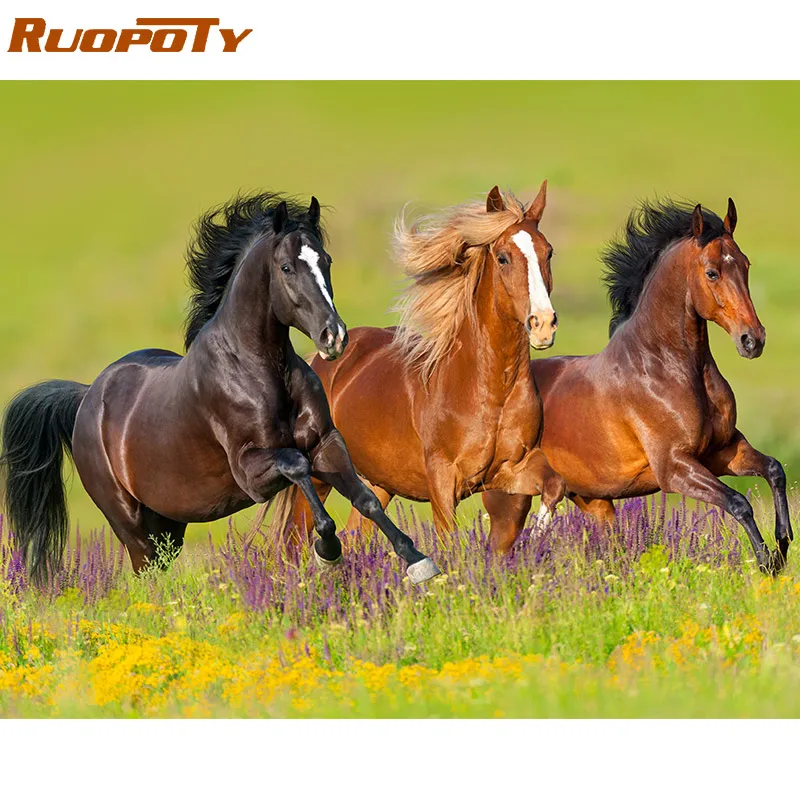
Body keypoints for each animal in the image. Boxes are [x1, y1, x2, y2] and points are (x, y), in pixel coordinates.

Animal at [0, 192, 440, 586]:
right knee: (146, 575)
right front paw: (328, 552)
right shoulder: (252, 473)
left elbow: (365, 498)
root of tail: (87, 398)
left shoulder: (326, 443)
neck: (259, 372)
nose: (334, 337)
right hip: (131, 524)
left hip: (168, 524)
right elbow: (298, 467)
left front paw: (419, 562)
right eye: (286, 267)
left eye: (326, 261)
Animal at [283, 183, 566, 551]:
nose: (543, 324)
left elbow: (554, 486)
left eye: (548, 253)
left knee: (357, 532)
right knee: (295, 540)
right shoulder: (443, 481)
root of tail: (319, 361)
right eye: (503, 257)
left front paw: (537, 536)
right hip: (319, 475)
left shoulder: (512, 469)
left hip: (378, 483)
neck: (489, 389)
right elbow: (449, 543)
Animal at [482, 198, 793, 573]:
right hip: (510, 503)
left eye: (745, 265)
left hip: (595, 502)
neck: (664, 367)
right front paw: (767, 561)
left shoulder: (723, 451)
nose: (753, 340)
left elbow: (774, 470)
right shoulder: (674, 468)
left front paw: (783, 543)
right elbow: (737, 502)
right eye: (712, 272)